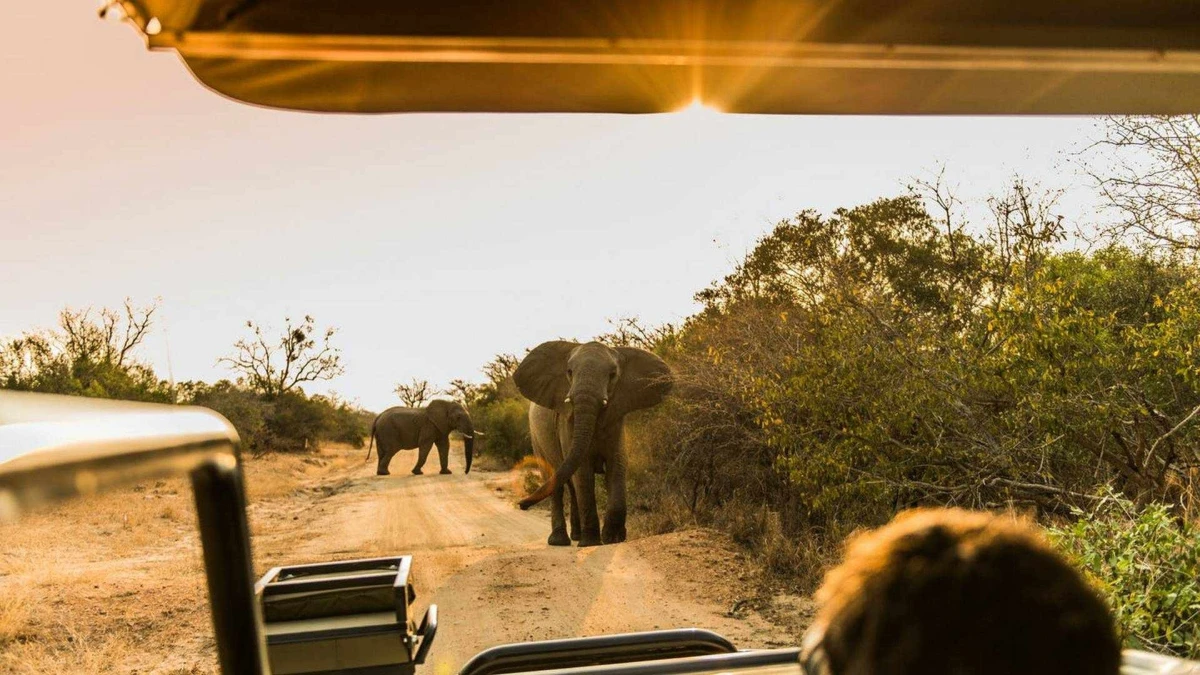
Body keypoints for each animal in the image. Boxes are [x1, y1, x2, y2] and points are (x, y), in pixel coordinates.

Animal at [511, 338, 672, 542]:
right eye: (569, 372)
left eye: (612, 375)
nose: (521, 505)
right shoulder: (567, 422)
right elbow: (583, 470)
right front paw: (591, 542)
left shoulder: (616, 419)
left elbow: (617, 465)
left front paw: (613, 539)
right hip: (536, 437)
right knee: (556, 481)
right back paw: (560, 541)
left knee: (570, 486)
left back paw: (576, 536)